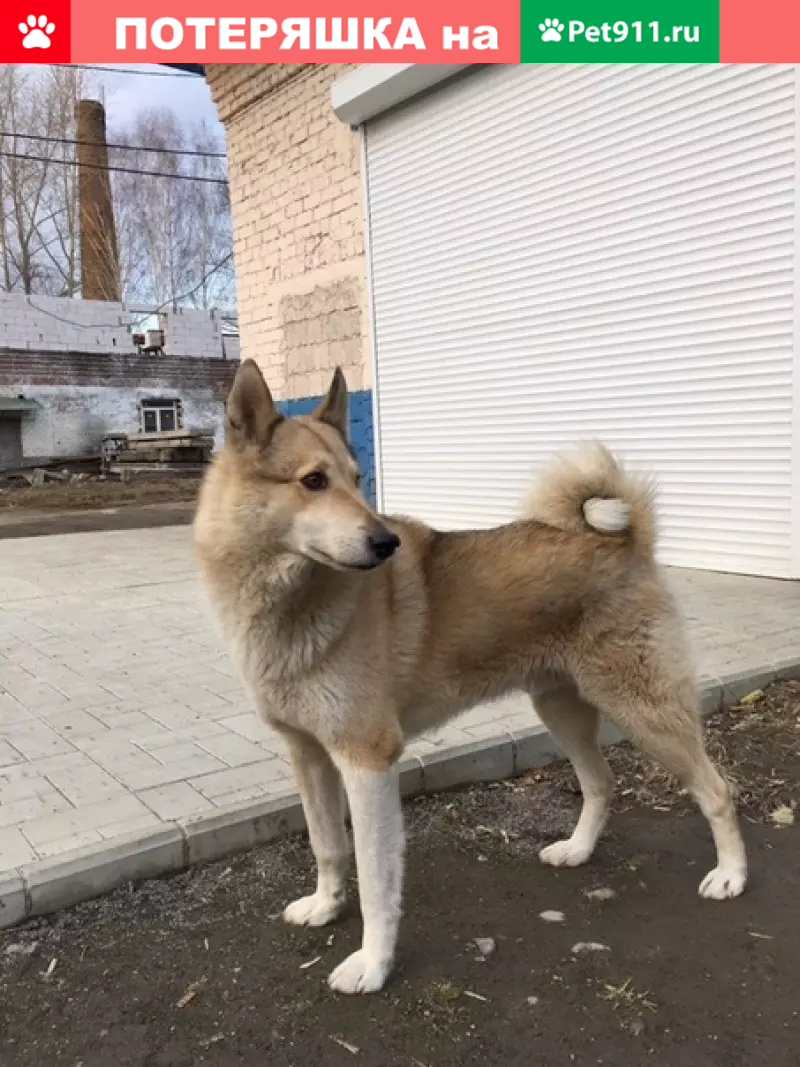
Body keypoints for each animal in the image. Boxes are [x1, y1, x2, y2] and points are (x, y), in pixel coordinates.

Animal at [194, 360, 747, 995]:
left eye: (358, 480)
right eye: (313, 481)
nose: (387, 542)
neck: (290, 600)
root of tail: (629, 542)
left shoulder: (367, 761)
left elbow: (376, 876)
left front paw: (373, 964)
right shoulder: (307, 754)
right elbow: (327, 845)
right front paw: (327, 906)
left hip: (644, 712)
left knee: (716, 790)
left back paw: (731, 875)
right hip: (560, 710)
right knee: (602, 783)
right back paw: (577, 851)